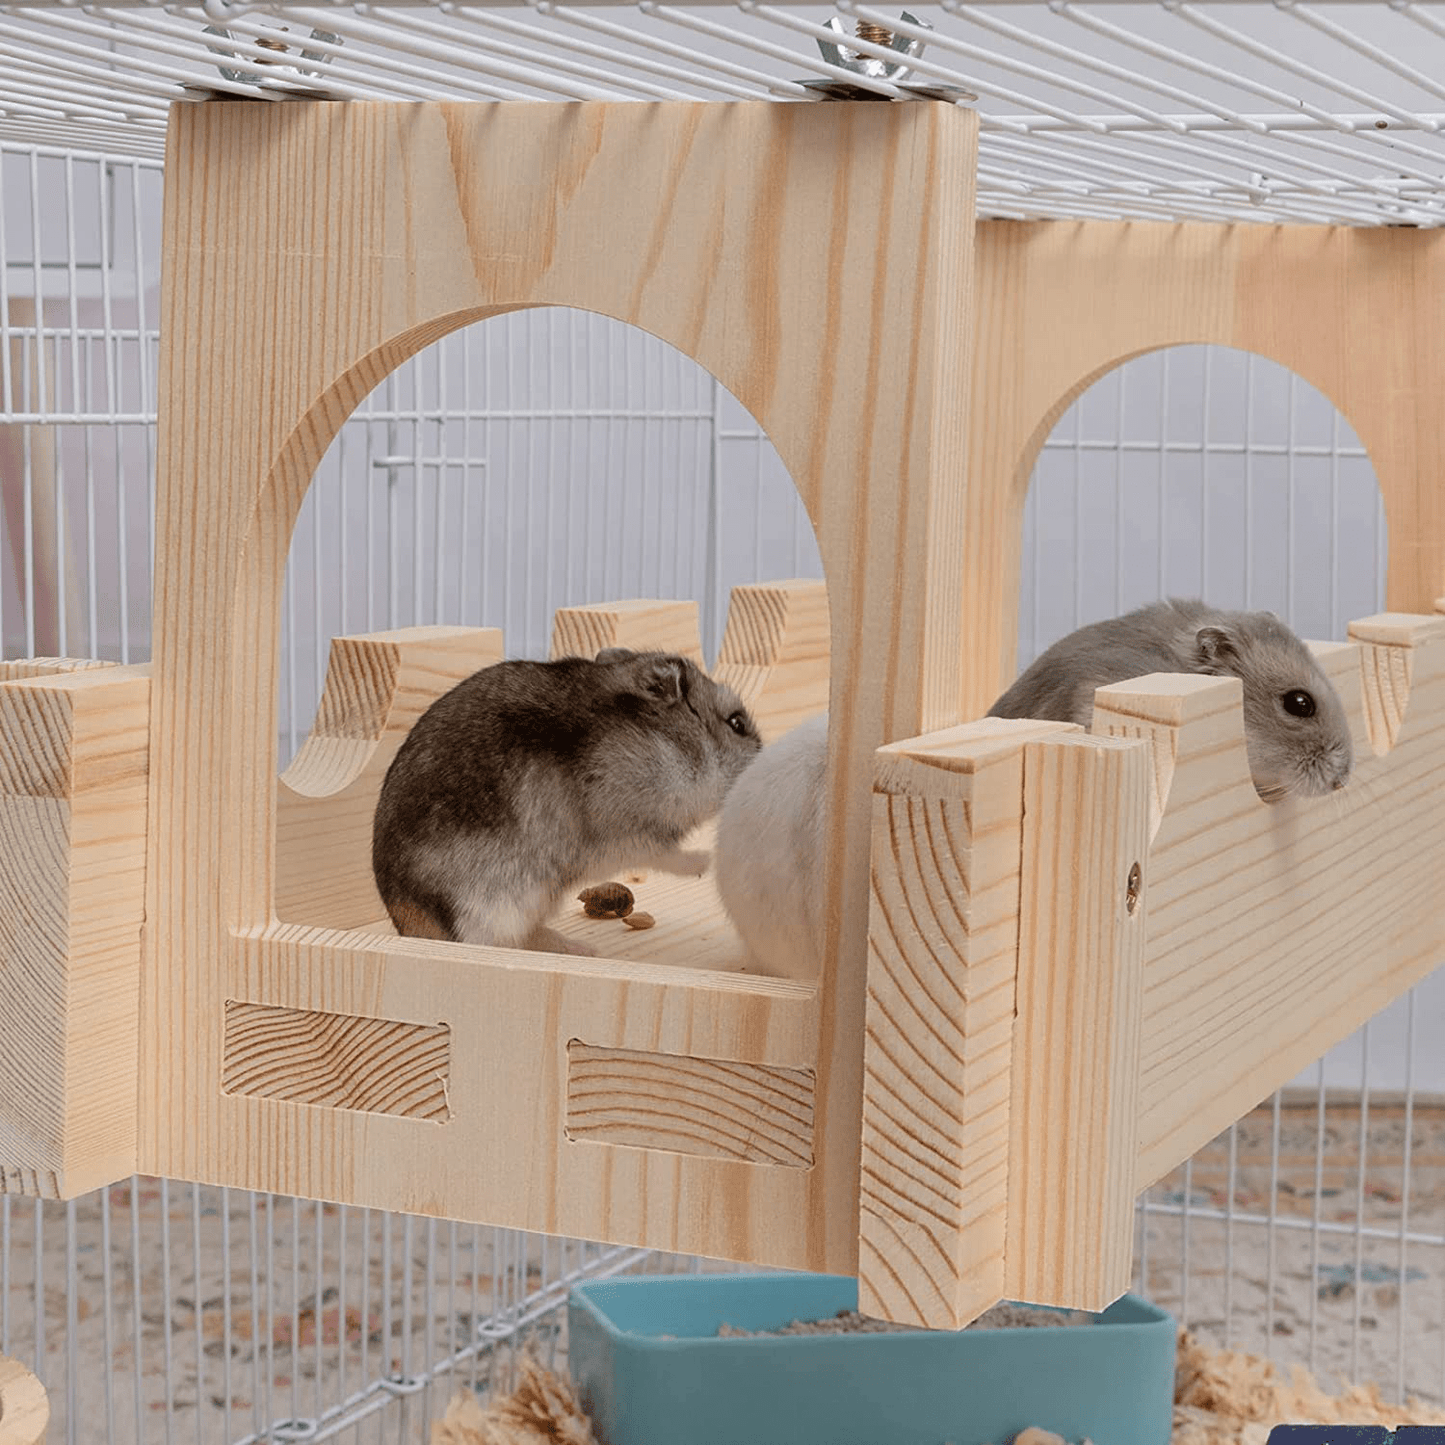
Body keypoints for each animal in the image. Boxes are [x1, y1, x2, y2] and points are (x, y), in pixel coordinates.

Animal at [372, 647, 762, 954]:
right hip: (506, 902)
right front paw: (705, 862)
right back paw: (584, 950)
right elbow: (664, 854)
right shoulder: (625, 834)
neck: (668, 744)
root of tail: (409, 925)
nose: (762, 759)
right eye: (737, 723)